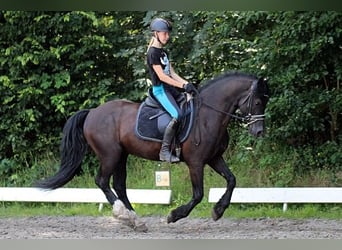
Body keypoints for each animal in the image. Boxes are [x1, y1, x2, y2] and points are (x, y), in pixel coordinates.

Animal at [36, 71, 268, 231]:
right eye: (257, 101)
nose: (259, 132)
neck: (208, 116)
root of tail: (92, 112)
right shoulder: (196, 162)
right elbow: (198, 194)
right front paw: (174, 215)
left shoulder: (214, 158)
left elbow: (231, 180)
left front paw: (218, 210)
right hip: (110, 155)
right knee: (102, 181)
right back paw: (124, 216)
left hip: (121, 156)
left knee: (119, 185)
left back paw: (135, 220)